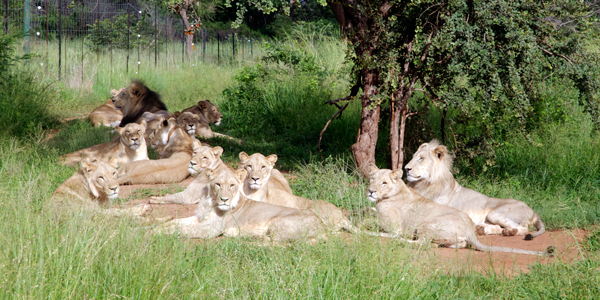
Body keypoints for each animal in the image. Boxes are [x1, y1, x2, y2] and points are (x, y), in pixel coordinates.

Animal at [152, 168, 326, 243]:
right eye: (218, 184)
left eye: (232, 185)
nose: (224, 200)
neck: (210, 202)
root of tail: (322, 225)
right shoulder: (199, 218)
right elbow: (174, 222)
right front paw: (152, 228)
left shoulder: (211, 229)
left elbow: (180, 229)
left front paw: (155, 233)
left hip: (278, 221)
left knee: (274, 241)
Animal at [368, 164, 552, 255]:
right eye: (372, 179)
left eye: (384, 182)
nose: (370, 191)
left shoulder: (394, 227)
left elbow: (370, 220)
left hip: (427, 224)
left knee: (422, 243)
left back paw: (401, 241)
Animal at [406, 139, 548, 240]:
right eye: (413, 157)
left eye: (421, 158)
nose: (406, 168)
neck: (423, 184)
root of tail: (533, 211)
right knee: (498, 227)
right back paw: (481, 229)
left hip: (495, 213)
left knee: (524, 228)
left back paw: (509, 231)